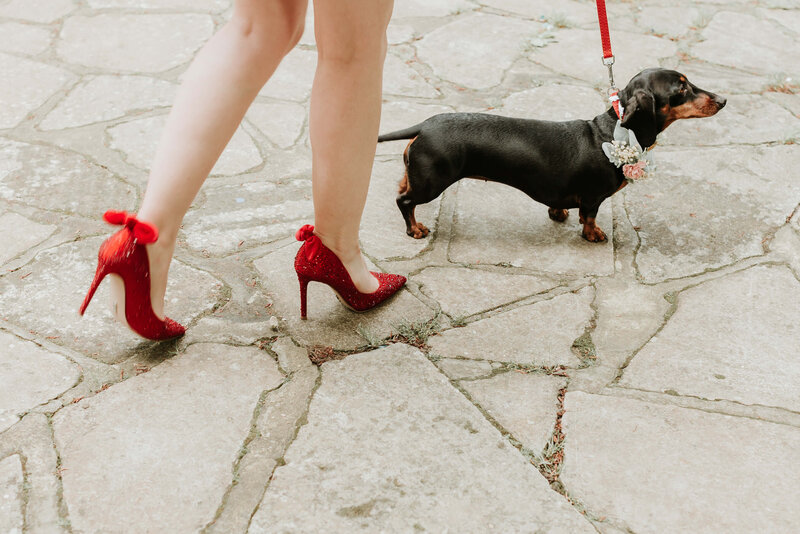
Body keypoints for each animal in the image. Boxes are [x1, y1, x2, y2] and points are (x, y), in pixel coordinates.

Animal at [380, 68, 724, 243]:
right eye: (681, 89)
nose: (723, 100)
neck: (613, 133)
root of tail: (425, 125)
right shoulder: (593, 196)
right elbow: (590, 217)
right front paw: (593, 234)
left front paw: (559, 214)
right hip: (432, 183)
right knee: (405, 201)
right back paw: (415, 229)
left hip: (420, 176)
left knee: (401, 189)